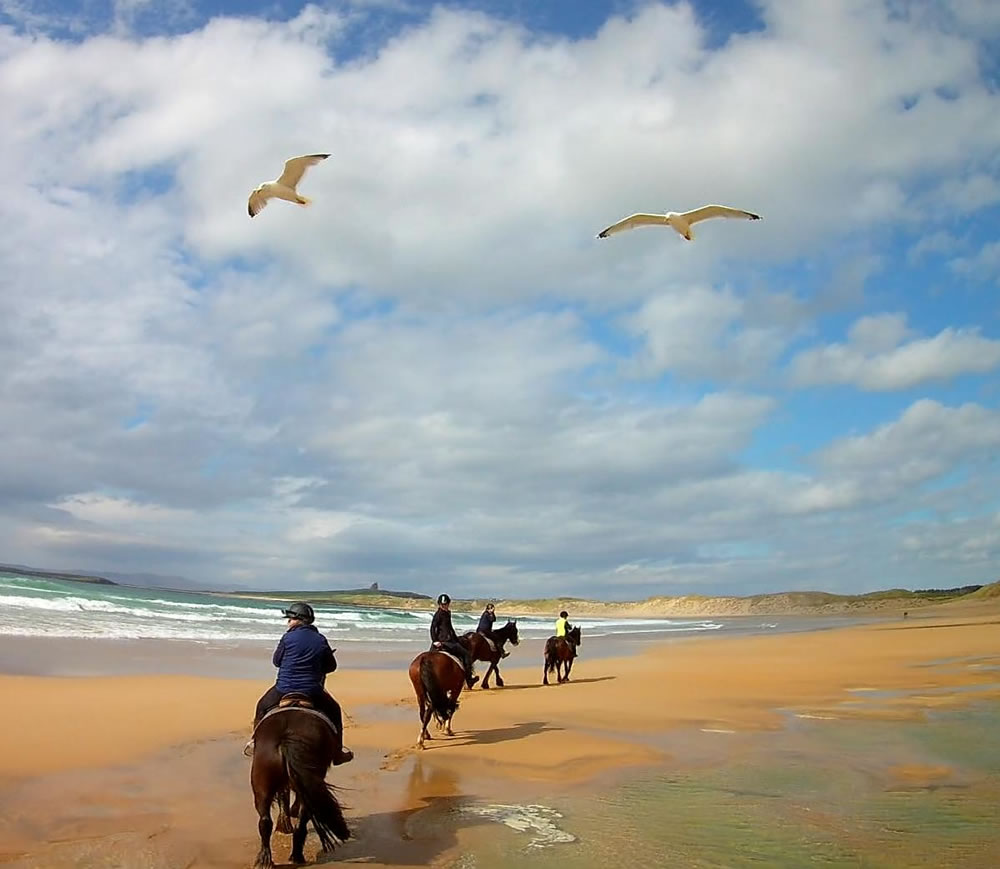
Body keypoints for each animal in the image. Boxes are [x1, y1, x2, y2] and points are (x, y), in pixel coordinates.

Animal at [250, 700, 352, 864]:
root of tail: (285, 739)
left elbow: (284, 797)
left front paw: (284, 824)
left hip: (261, 785)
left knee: (265, 820)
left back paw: (266, 860)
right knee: (303, 818)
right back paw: (296, 855)